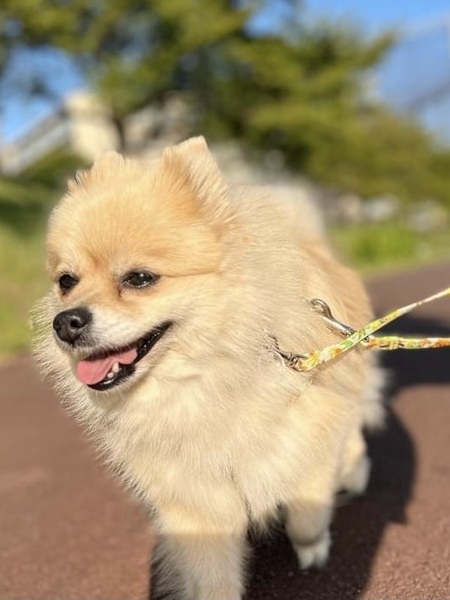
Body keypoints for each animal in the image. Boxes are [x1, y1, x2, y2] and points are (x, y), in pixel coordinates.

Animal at [33, 136, 384, 600]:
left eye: (139, 278)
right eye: (66, 281)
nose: (66, 322)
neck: (199, 381)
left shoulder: (308, 437)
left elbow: (306, 513)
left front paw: (313, 550)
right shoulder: (192, 498)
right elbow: (212, 574)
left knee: (356, 428)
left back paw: (356, 473)